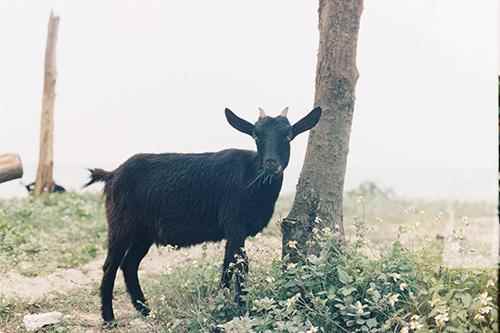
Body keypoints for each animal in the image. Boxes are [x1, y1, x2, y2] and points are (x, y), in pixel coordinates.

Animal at [84, 105, 322, 322]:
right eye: (256, 135)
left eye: (288, 136)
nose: (271, 165)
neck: (252, 177)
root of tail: (112, 174)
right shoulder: (235, 226)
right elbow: (238, 266)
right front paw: (238, 308)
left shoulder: (235, 232)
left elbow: (230, 265)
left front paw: (227, 303)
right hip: (121, 225)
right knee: (111, 265)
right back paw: (109, 318)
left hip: (144, 233)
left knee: (129, 264)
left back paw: (146, 311)